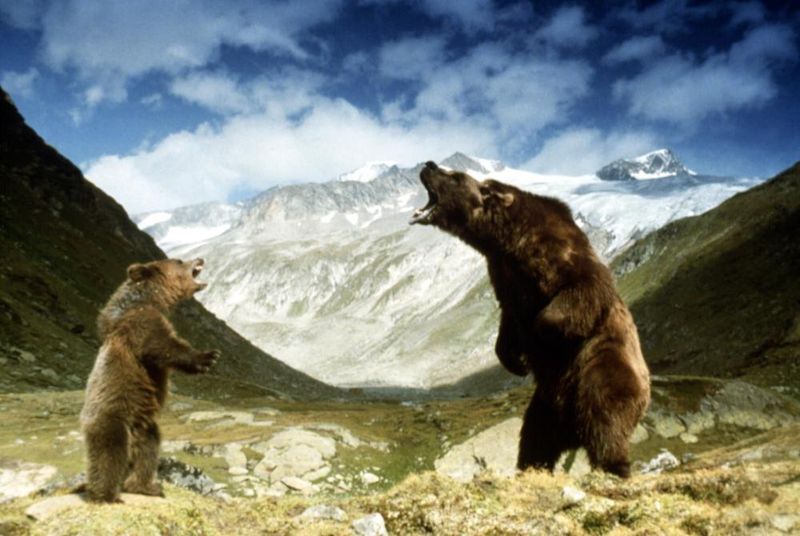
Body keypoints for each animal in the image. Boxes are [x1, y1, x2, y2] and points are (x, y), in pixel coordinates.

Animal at [80, 258, 219, 502]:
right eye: (179, 261)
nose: (200, 259)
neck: (152, 299)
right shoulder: (142, 322)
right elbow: (162, 346)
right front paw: (207, 357)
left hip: (145, 425)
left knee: (148, 450)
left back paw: (146, 486)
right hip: (111, 419)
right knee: (109, 454)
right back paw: (106, 495)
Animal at [410, 161, 650, 478]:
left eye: (455, 176)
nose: (428, 165)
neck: (506, 240)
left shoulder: (561, 254)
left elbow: (580, 290)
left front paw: (537, 341)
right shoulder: (505, 278)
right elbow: (507, 323)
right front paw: (516, 361)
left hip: (603, 369)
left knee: (605, 418)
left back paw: (614, 467)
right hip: (545, 406)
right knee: (536, 438)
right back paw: (532, 467)